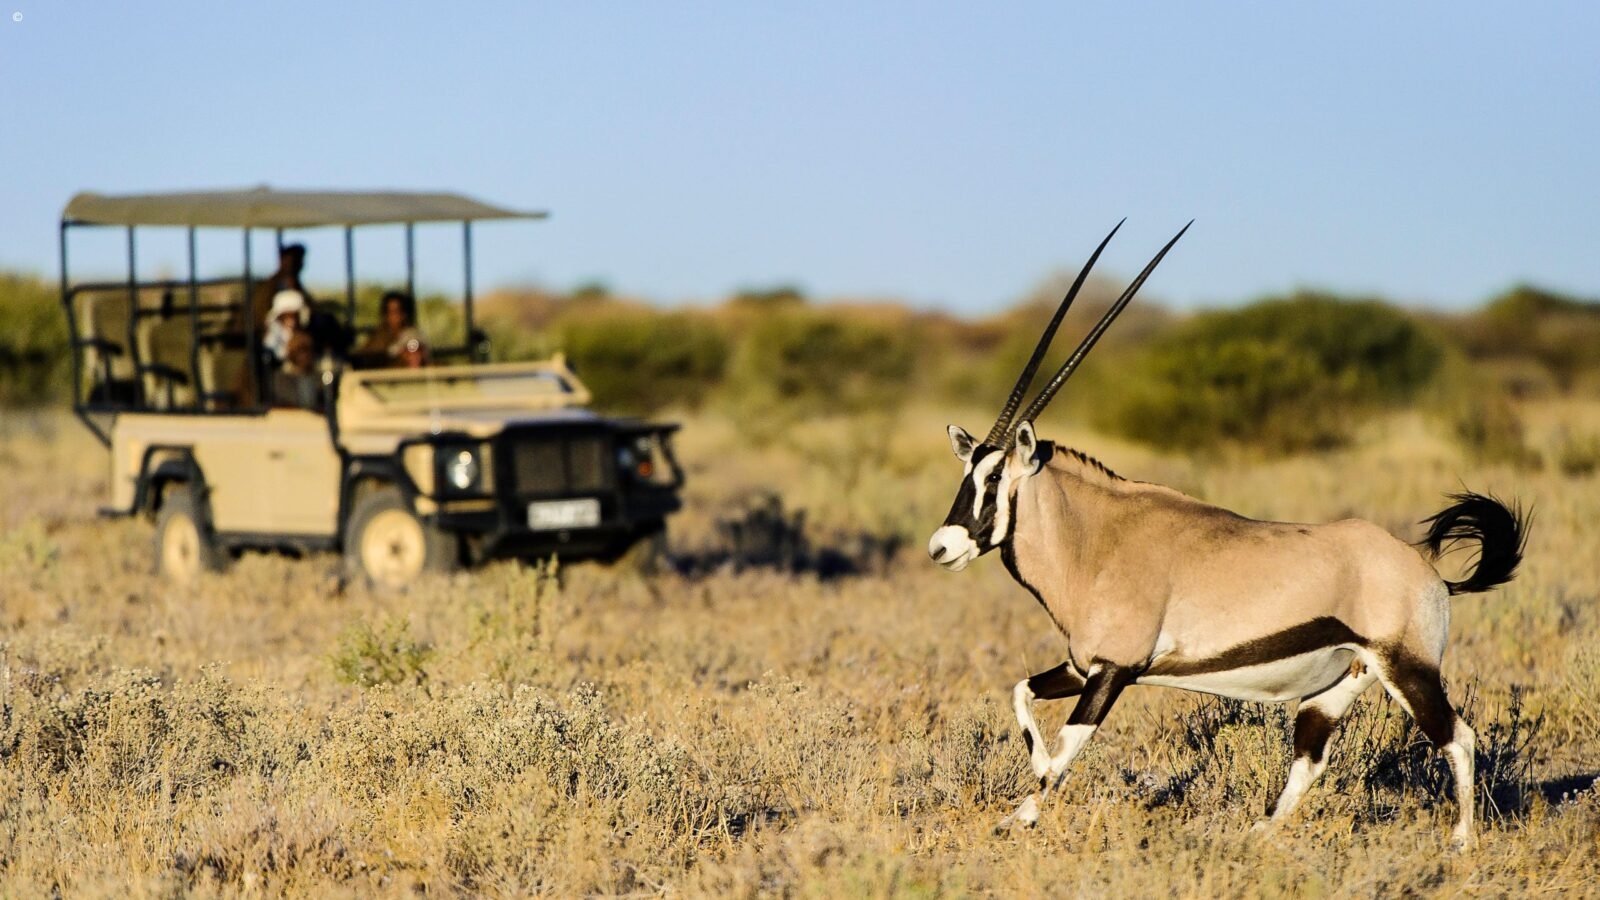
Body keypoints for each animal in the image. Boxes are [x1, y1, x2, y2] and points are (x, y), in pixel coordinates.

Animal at [927, 221, 1527, 849]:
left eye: (995, 478)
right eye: (967, 474)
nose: (942, 547)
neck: (1096, 540)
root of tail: (1430, 574)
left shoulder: (1113, 670)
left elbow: (1067, 750)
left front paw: (1020, 816)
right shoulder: (1082, 664)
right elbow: (1020, 694)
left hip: (1408, 670)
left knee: (1457, 737)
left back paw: (1461, 842)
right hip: (1338, 686)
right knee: (1311, 757)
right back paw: (1259, 832)